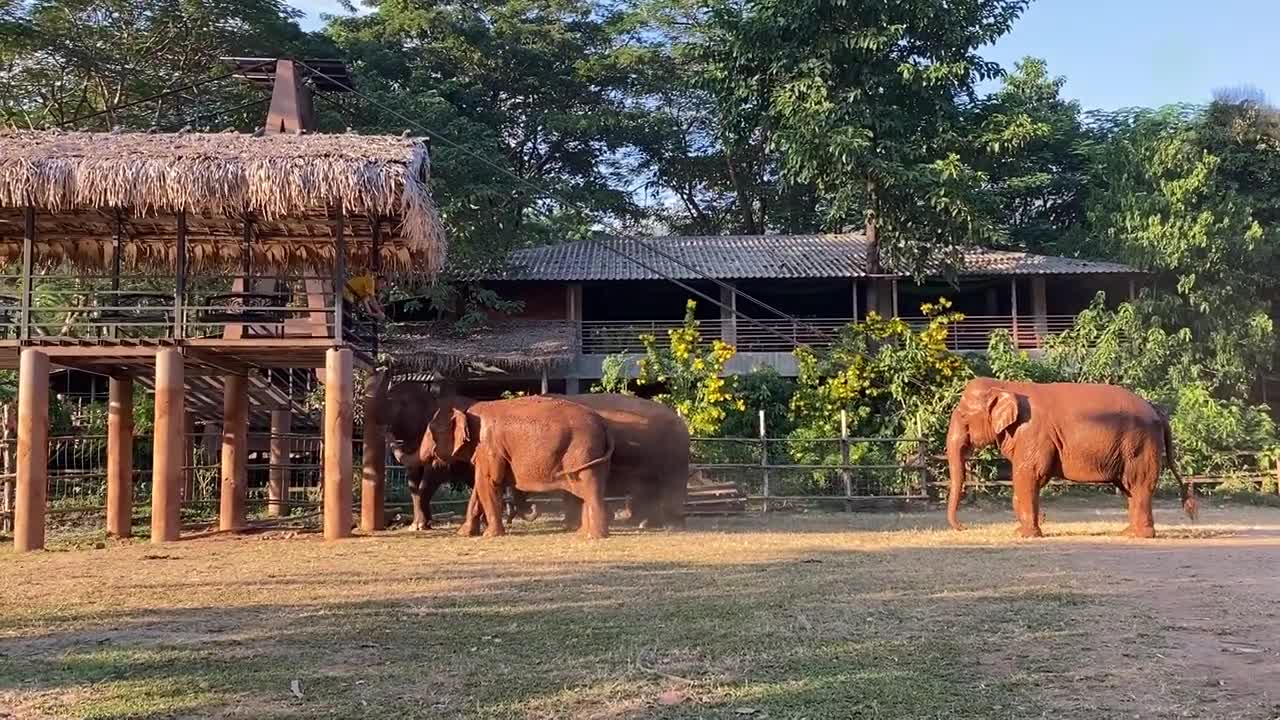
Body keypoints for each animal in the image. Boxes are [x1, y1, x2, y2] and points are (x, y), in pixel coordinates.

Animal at [422, 392, 616, 538]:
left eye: (430, 432)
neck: (468, 410)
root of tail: (604, 425)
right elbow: (479, 487)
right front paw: (463, 534)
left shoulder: (490, 446)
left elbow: (488, 482)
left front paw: (490, 535)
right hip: (593, 456)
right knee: (590, 490)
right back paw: (583, 534)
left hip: (584, 451)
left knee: (590, 489)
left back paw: (593, 537)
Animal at [942, 379, 1198, 535]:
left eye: (963, 416)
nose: (964, 527)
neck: (1005, 385)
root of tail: (1156, 410)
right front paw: (1024, 531)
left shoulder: (1034, 433)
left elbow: (1028, 475)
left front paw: (1025, 535)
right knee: (1131, 489)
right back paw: (1128, 533)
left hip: (1141, 445)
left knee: (1140, 484)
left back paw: (1139, 536)